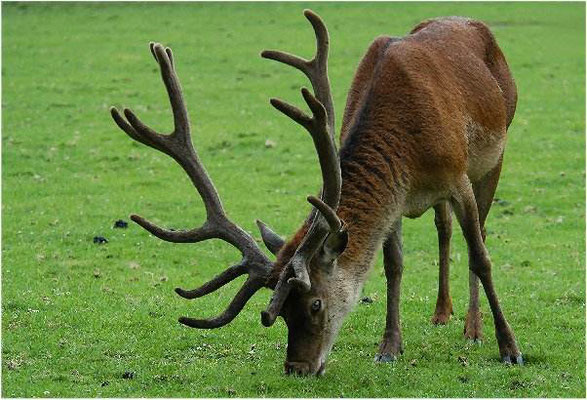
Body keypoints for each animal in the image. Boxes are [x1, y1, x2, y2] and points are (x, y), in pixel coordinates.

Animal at [110, 9, 524, 376]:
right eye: (280, 313)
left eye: (314, 304)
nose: (296, 368)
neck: (407, 147)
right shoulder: (396, 199)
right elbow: (393, 267)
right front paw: (389, 347)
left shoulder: (457, 178)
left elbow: (481, 258)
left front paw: (509, 348)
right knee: (443, 228)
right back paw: (441, 312)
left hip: (495, 154)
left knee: (477, 233)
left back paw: (472, 327)